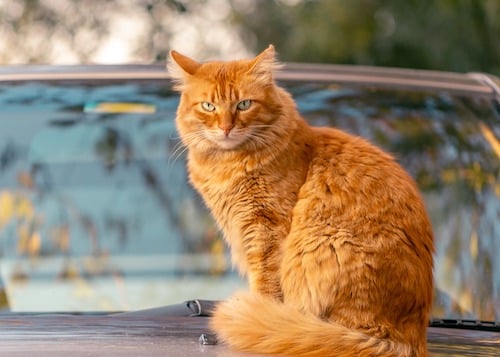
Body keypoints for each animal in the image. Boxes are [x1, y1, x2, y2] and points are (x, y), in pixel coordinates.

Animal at [168, 46, 434, 354]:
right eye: (208, 106)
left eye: (244, 104)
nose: (226, 128)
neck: (228, 164)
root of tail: (409, 340)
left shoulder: (265, 228)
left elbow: (266, 285)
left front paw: (260, 312)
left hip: (326, 244)